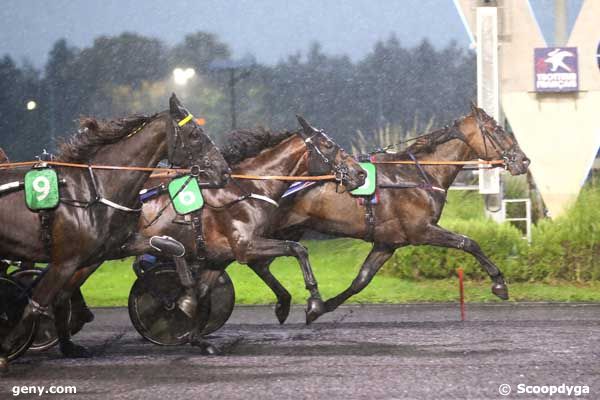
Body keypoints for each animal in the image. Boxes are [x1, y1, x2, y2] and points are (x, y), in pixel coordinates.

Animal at [57, 115, 366, 354]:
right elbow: (297, 249)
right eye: (329, 145)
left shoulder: (219, 255)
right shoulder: (245, 246)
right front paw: (312, 304)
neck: (247, 190)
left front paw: (197, 335)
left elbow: (203, 293)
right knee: (66, 286)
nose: (360, 173)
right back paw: (67, 335)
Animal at [248, 104, 528, 324]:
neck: (419, 175)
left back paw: (283, 303)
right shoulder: (421, 230)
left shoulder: (387, 243)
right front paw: (500, 284)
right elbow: (469, 242)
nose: (523, 161)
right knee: (258, 260)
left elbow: (361, 280)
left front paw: (320, 307)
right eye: (496, 130)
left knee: (260, 263)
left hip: (288, 230)